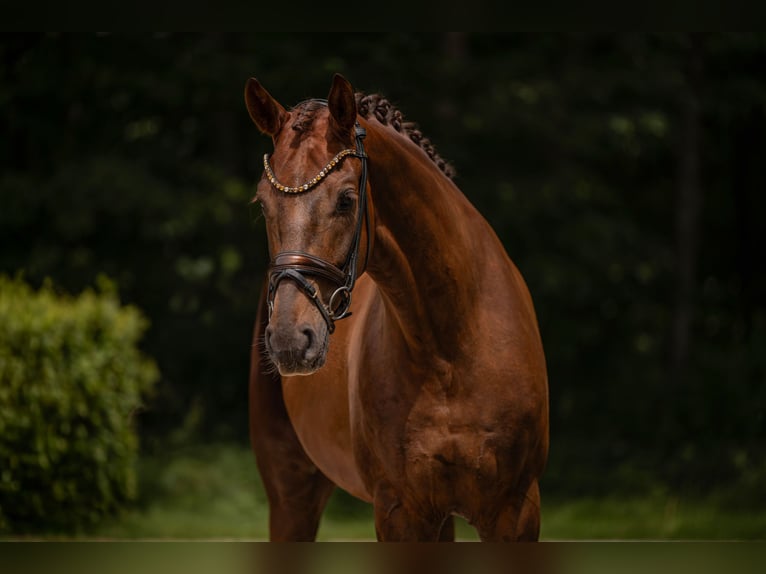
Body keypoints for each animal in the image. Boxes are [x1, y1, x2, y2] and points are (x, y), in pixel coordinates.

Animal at [245, 74, 549, 541]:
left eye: (346, 200)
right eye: (263, 203)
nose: (289, 341)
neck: (451, 346)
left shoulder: (515, 511)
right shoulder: (400, 511)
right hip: (291, 493)